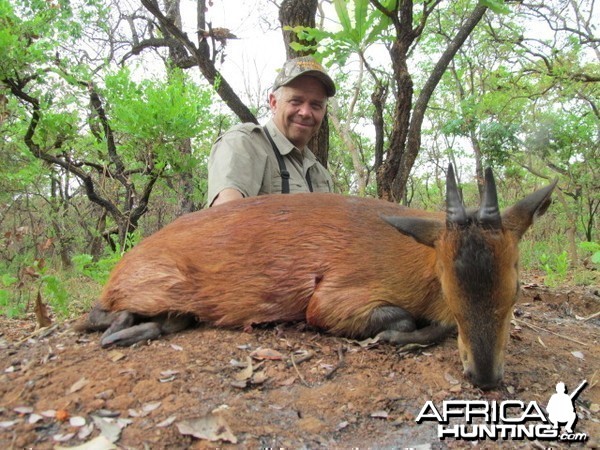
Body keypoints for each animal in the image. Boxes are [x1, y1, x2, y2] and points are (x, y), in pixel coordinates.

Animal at [81, 165, 556, 390]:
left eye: (516, 289)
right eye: (446, 282)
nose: (486, 377)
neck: (416, 259)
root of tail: (122, 265)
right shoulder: (329, 301)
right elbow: (406, 319)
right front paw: (394, 338)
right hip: (161, 287)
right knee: (97, 317)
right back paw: (122, 329)